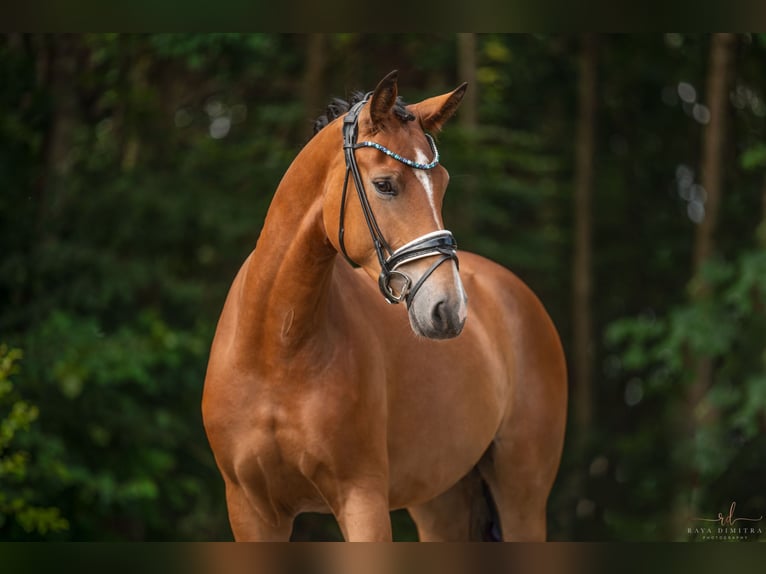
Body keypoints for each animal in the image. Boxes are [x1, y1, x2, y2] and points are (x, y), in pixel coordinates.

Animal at [201, 70, 568, 544]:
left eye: (442, 185)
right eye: (385, 184)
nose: (449, 309)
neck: (275, 348)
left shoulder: (362, 498)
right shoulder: (251, 510)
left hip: (522, 496)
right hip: (441, 502)